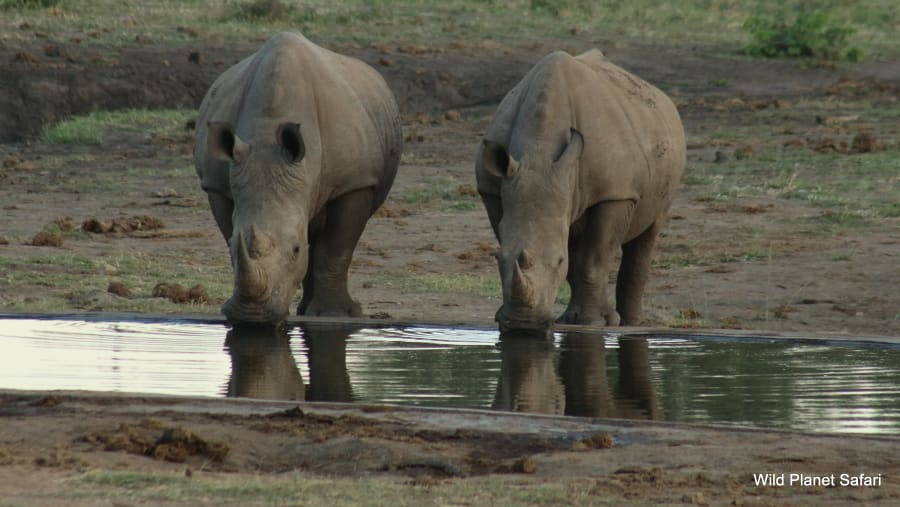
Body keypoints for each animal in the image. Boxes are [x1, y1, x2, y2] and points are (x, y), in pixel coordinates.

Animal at [193, 32, 401, 325]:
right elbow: (230, 232)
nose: (252, 317)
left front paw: (334, 314)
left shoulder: (355, 182)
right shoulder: (217, 185)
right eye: (233, 247)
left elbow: (336, 249)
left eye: (295, 249)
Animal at [476, 49, 685, 335]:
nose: (523, 326)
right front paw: (575, 320)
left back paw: (631, 323)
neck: (538, 152)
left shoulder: (614, 194)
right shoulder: (494, 191)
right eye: (497, 259)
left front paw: (593, 323)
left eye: (558, 261)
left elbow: (593, 259)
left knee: (648, 232)